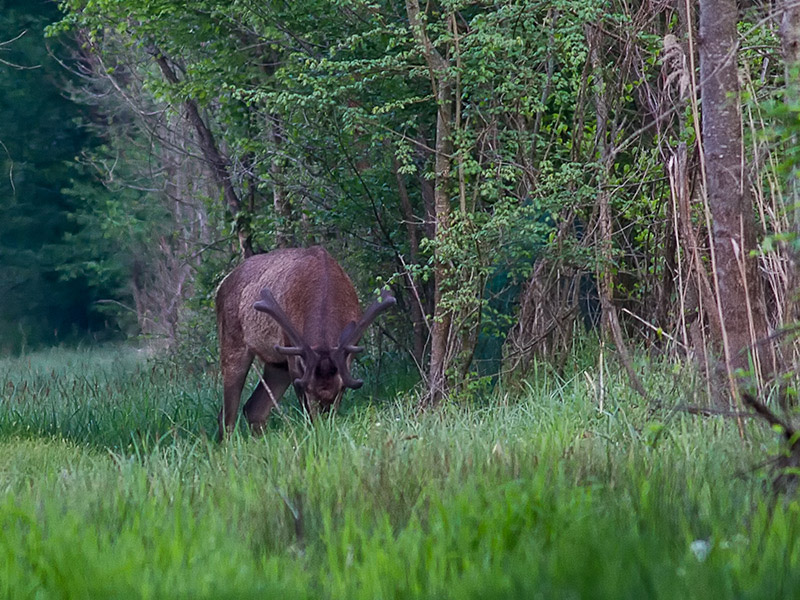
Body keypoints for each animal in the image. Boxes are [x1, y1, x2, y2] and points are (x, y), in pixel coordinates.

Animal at [212, 246, 394, 438]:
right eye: (308, 390)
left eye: (340, 389)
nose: (323, 423)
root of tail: (221, 285)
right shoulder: (293, 353)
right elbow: (305, 410)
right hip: (232, 340)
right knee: (226, 416)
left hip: (277, 365)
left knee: (254, 409)